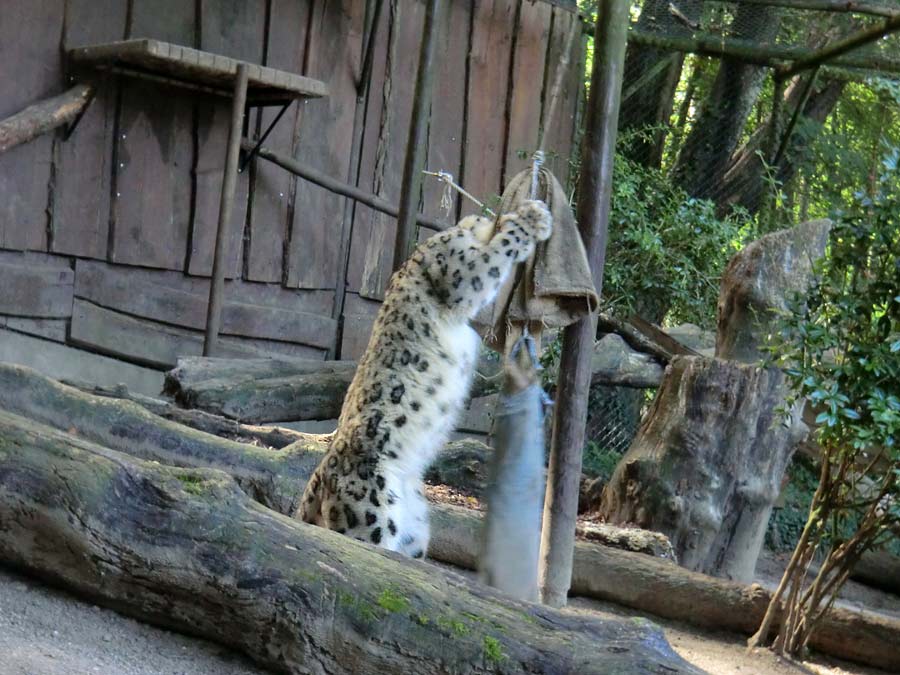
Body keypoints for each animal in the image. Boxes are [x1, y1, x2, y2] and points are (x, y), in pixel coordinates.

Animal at [302, 201, 552, 560]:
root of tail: (320, 477)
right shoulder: (461, 269)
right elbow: (496, 252)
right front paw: (532, 218)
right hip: (371, 514)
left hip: (413, 531)